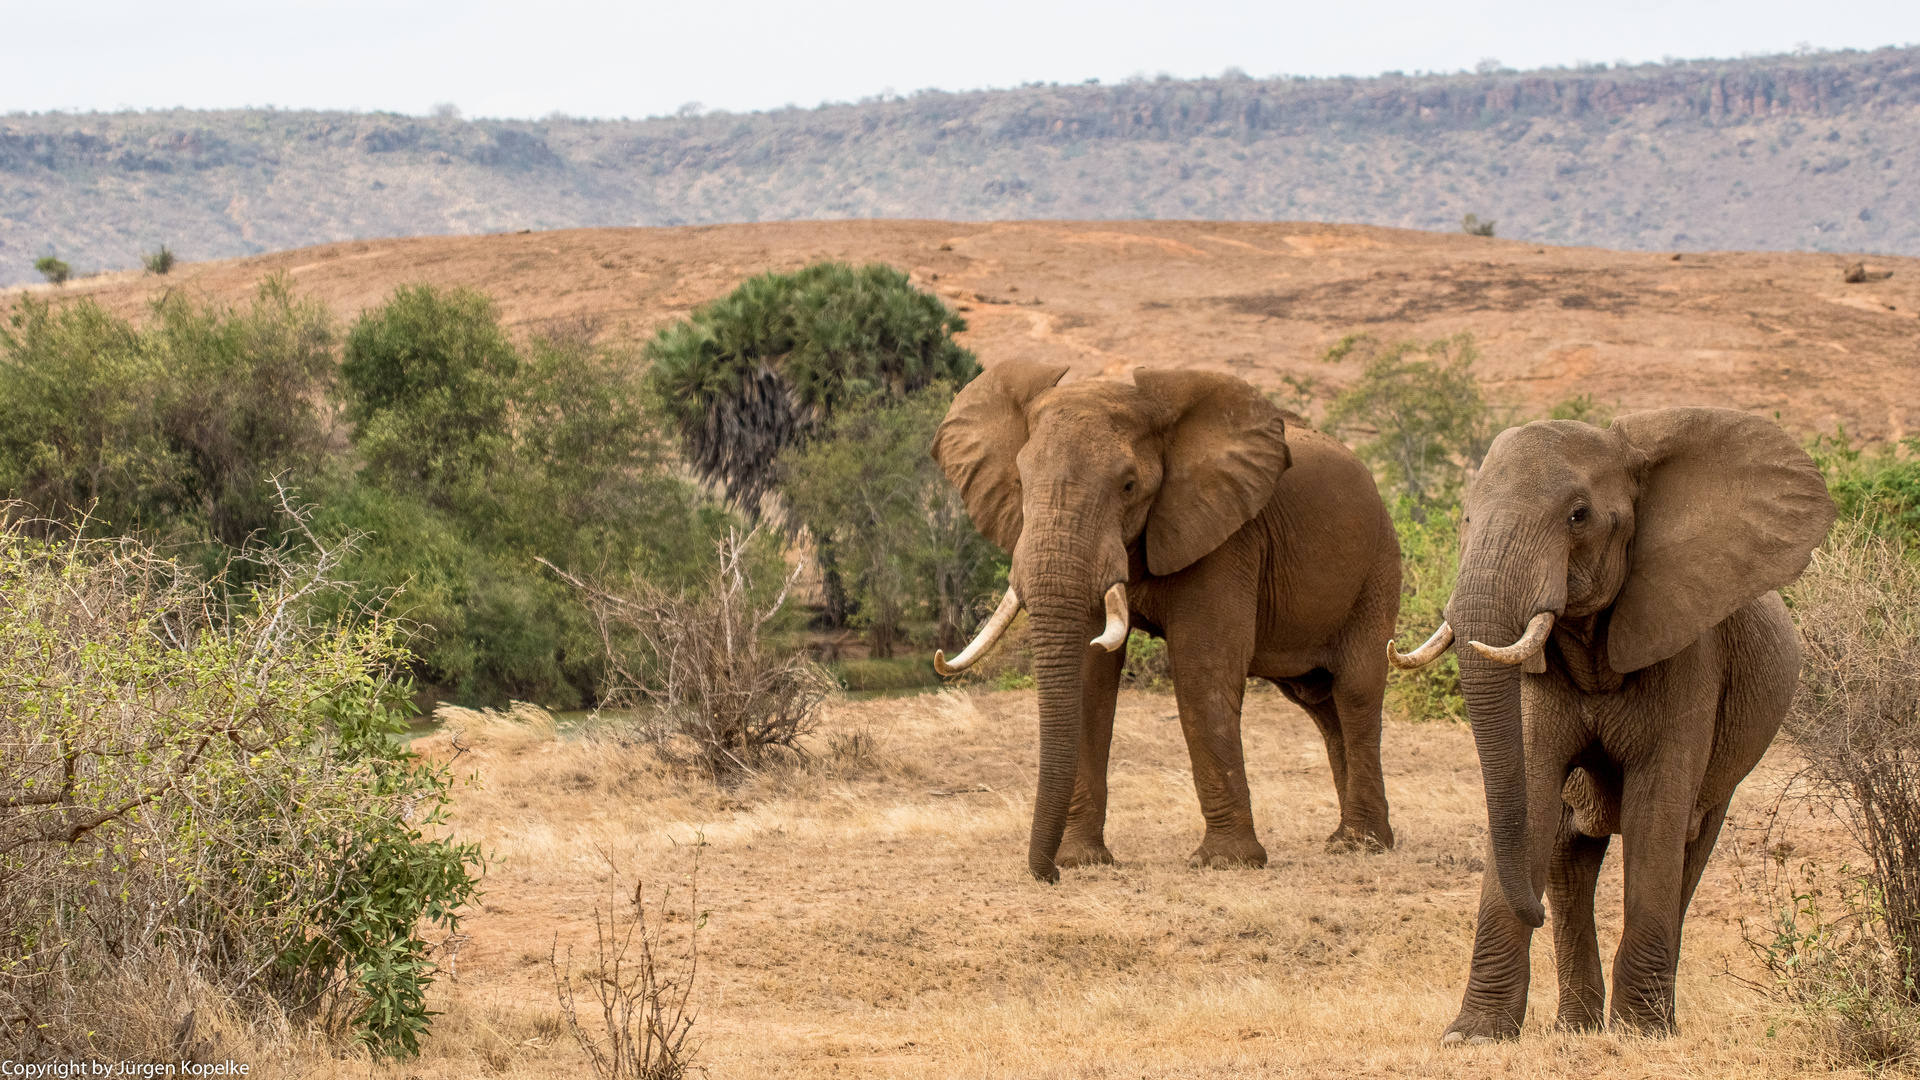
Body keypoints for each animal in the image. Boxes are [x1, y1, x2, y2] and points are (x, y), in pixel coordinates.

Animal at [921, 357, 1405, 880]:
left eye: (1129, 486)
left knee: (1355, 691)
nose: (1047, 875)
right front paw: (1082, 861)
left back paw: (1361, 846)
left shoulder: (1228, 533)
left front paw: (1227, 862)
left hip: (1378, 567)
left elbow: (1201, 668)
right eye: (1021, 482)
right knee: (1320, 705)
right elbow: (1090, 679)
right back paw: (1345, 839)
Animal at [1390, 407, 1835, 1037]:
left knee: (1689, 846)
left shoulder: (1688, 648)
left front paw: (1641, 1033)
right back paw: (1574, 1028)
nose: (1534, 911)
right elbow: (1531, 796)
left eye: (1579, 516)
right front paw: (1472, 1036)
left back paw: (1648, 1016)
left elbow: (1656, 813)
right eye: (1466, 516)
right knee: (1569, 853)